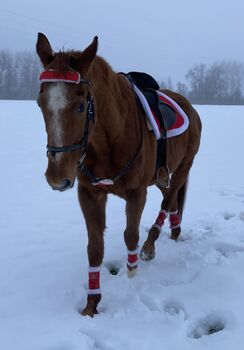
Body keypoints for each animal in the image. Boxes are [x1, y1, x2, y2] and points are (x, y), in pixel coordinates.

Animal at [35, 33, 200, 318]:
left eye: (81, 106)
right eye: (40, 103)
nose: (57, 178)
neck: (109, 140)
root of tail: (189, 107)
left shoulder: (137, 193)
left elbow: (130, 236)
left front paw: (132, 274)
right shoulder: (89, 194)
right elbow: (94, 249)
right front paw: (91, 305)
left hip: (183, 167)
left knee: (168, 201)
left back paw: (150, 245)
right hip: (162, 175)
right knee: (172, 198)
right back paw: (175, 230)